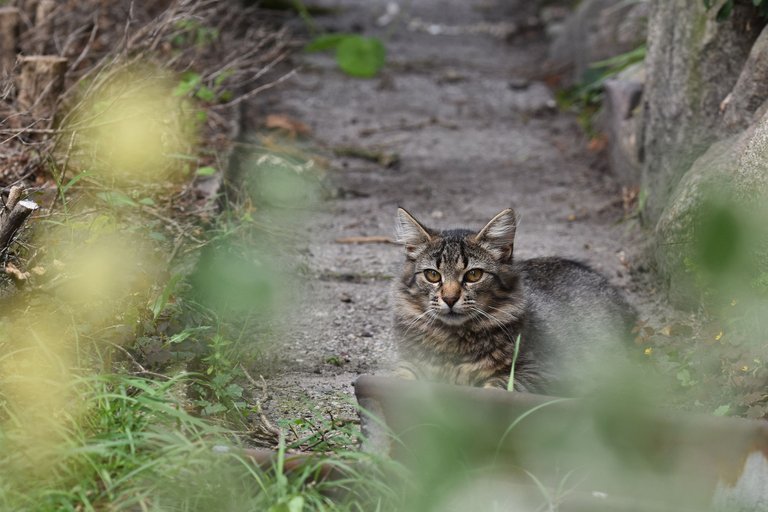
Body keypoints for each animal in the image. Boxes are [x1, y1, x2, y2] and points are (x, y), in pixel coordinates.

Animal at [392, 208, 632, 396]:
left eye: (474, 275)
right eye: (432, 275)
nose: (450, 298)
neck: (453, 343)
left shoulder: (543, 373)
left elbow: (497, 387)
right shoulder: (407, 362)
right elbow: (399, 375)